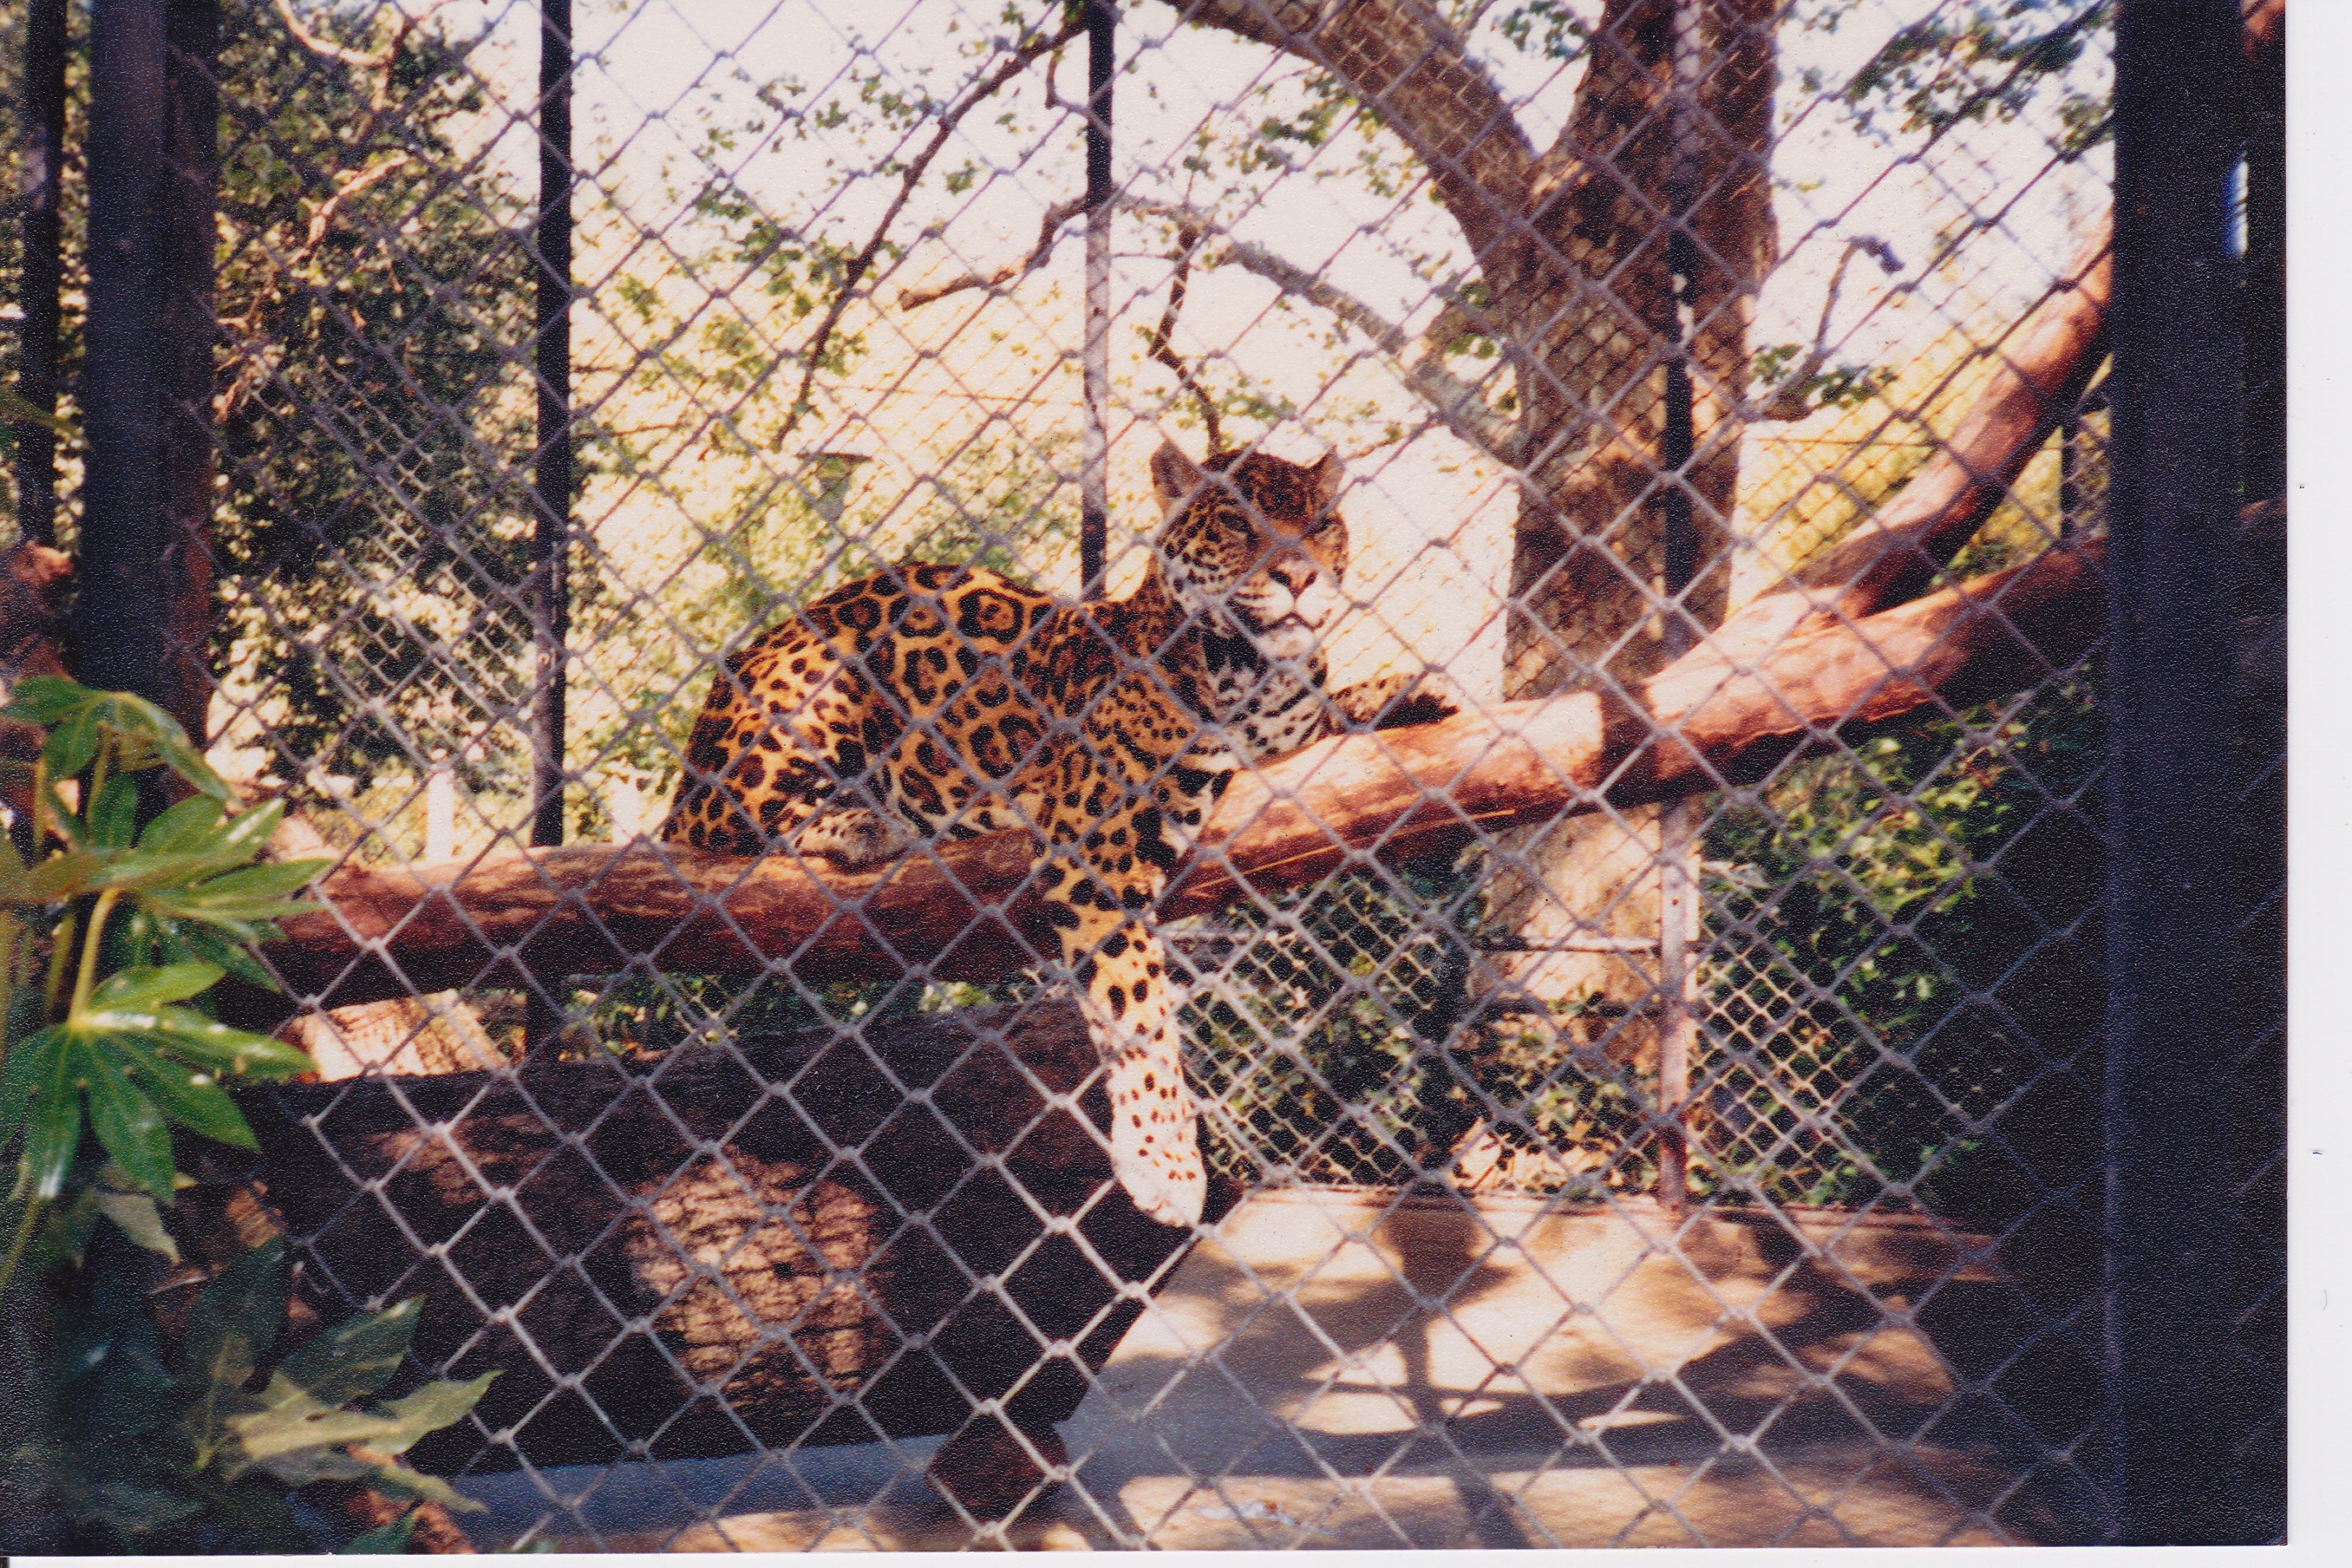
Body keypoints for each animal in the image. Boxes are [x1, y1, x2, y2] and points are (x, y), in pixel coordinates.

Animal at [658, 442, 1451, 1227]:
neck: (1253, 676)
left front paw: (1407, 691)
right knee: (705, 820)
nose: (1298, 575)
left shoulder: (1291, 736)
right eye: (1235, 523)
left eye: (1320, 525)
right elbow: (1139, 1006)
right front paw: (1165, 1160)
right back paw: (863, 819)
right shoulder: (1099, 843)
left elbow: (1332, 711)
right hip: (811, 695)